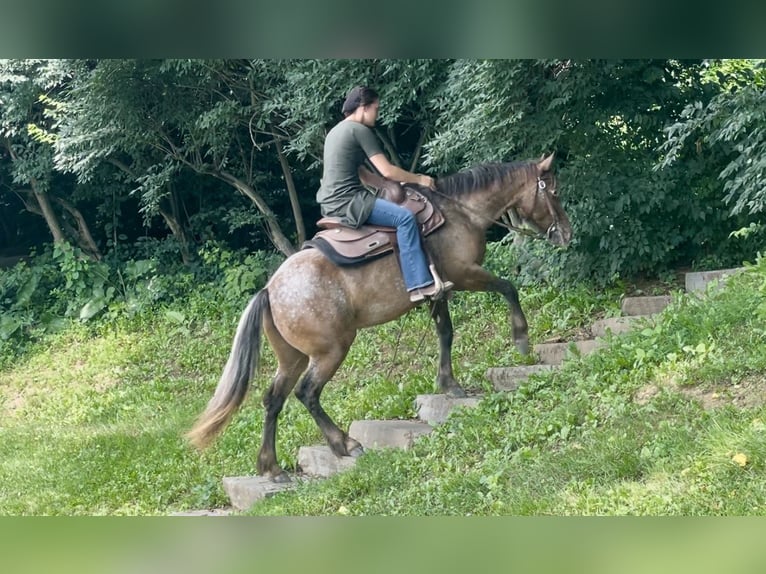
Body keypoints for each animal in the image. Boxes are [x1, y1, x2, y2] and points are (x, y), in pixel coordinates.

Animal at [187, 153, 572, 482]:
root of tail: (269, 289)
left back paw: (271, 467)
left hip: (292, 357)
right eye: (553, 190)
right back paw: (343, 444)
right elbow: (508, 288)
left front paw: (448, 383)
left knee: (273, 400)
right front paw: (521, 339)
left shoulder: (438, 292)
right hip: (331, 349)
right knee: (307, 393)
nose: (567, 233)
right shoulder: (464, 274)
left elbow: (446, 332)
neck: (461, 213)